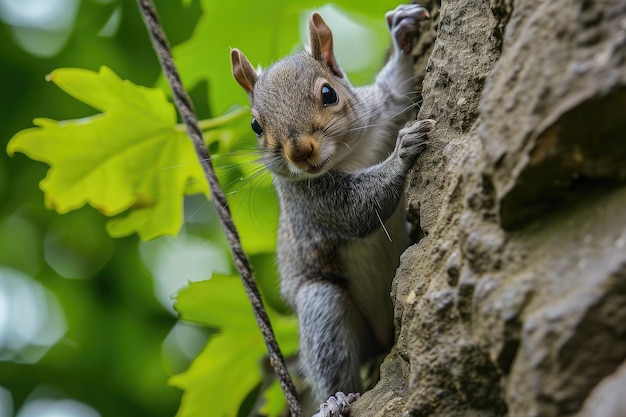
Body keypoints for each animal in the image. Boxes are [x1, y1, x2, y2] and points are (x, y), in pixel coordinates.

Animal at [230, 4, 434, 416]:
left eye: (329, 93)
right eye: (256, 125)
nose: (300, 152)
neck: (348, 155)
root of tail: (385, 334)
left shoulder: (381, 109)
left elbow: (396, 88)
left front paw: (402, 35)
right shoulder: (311, 202)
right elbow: (357, 211)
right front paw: (402, 152)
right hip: (323, 306)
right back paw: (338, 399)